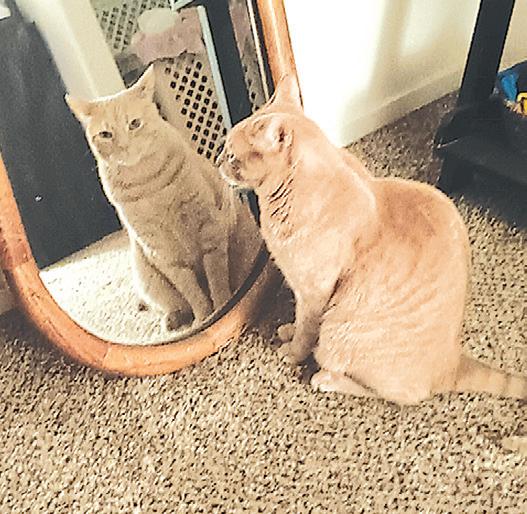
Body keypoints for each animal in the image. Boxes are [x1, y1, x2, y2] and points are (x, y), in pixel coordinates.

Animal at [66, 65, 259, 331]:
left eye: (134, 124)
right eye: (105, 134)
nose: (124, 147)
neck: (148, 184)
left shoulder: (208, 230)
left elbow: (216, 278)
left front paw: (221, 306)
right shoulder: (161, 251)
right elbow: (191, 291)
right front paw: (203, 318)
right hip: (147, 275)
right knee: (172, 305)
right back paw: (172, 319)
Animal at [217, 74, 527, 405]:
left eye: (232, 156)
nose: (219, 160)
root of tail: (452, 361)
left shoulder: (313, 292)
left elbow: (306, 331)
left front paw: (292, 351)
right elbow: (298, 323)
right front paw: (288, 330)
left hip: (338, 332)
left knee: (395, 393)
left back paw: (325, 379)